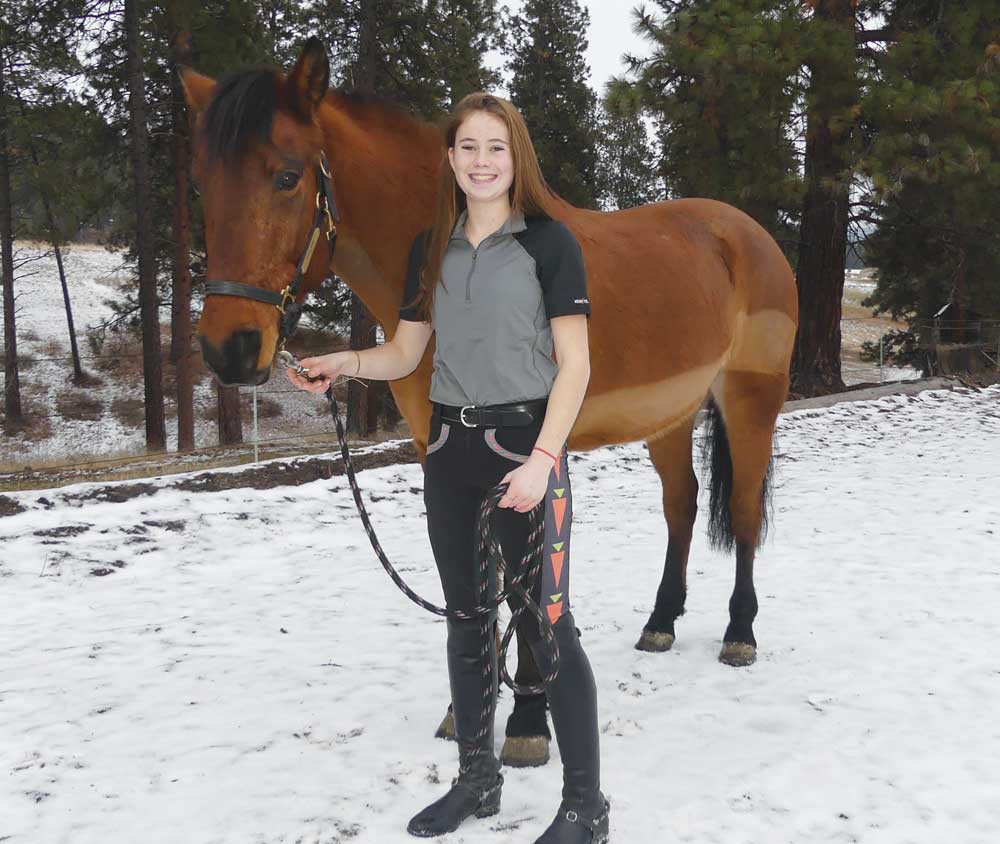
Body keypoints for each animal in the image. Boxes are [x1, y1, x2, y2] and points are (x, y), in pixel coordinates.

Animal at [184, 38, 800, 764]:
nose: (230, 348)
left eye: (286, 177)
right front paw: (468, 709)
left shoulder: (534, 463)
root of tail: (746, 233)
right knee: (682, 505)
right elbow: (486, 581)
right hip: (669, 418)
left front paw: (528, 721)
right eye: (203, 183)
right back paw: (659, 623)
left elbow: (528, 581)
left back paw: (740, 634)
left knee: (744, 508)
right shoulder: (443, 452)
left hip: (751, 401)